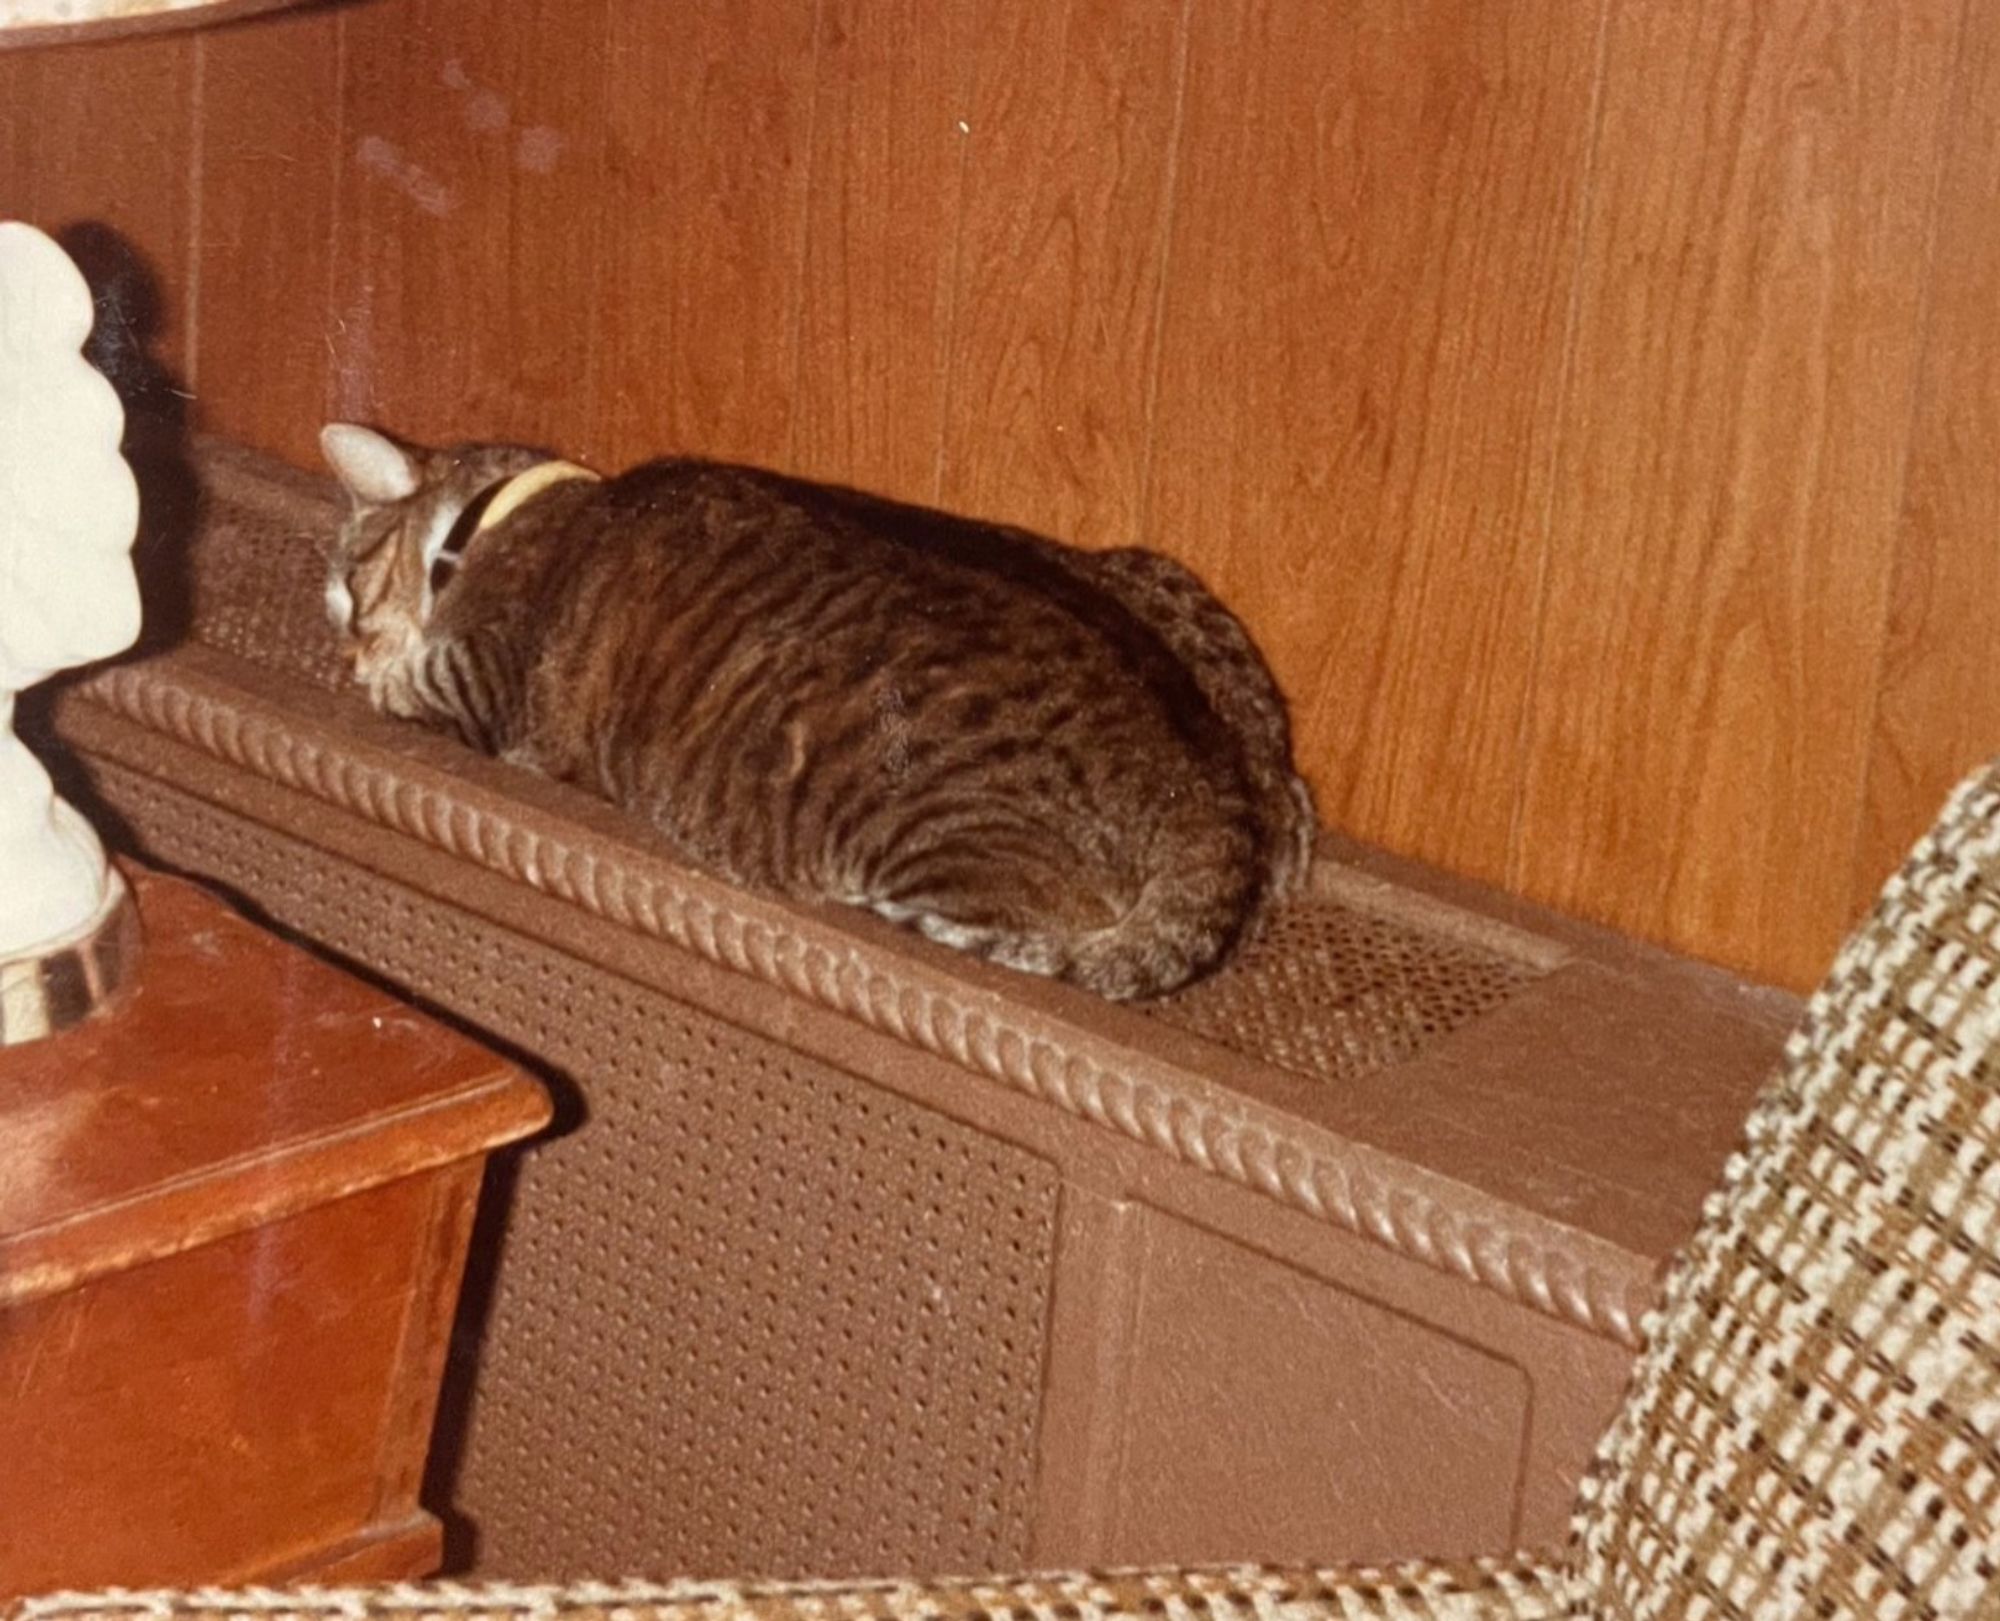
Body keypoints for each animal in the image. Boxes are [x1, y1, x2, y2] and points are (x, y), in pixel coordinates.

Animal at [322, 420, 1320, 996]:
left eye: (344, 584)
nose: (342, 637)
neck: (512, 509)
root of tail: (1215, 797)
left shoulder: (474, 682)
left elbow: (404, 681)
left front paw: (367, 662)